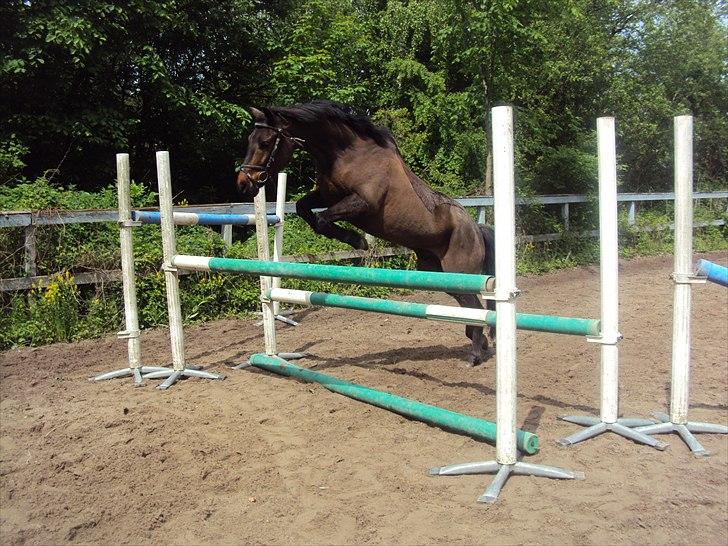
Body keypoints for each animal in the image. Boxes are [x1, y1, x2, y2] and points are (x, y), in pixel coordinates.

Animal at [236, 100, 495, 366]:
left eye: (266, 142)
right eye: (250, 140)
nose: (244, 183)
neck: (346, 154)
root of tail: (475, 228)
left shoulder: (362, 203)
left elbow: (322, 219)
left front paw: (358, 241)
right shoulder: (327, 195)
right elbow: (303, 208)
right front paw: (354, 240)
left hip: (461, 274)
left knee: (477, 308)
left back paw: (475, 354)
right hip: (440, 275)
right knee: (470, 309)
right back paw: (481, 342)